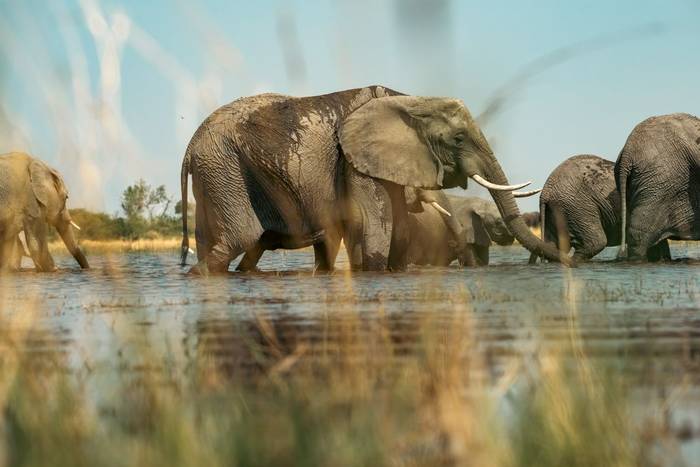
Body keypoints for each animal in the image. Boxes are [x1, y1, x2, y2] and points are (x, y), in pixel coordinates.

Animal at [179, 85, 566, 274]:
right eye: (458, 139)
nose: (573, 260)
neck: (410, 100)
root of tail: (189, 147)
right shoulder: (355, 161)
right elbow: (376, 225)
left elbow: (400, 230)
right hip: (223, 170)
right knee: (237, 240)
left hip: (216, 176)